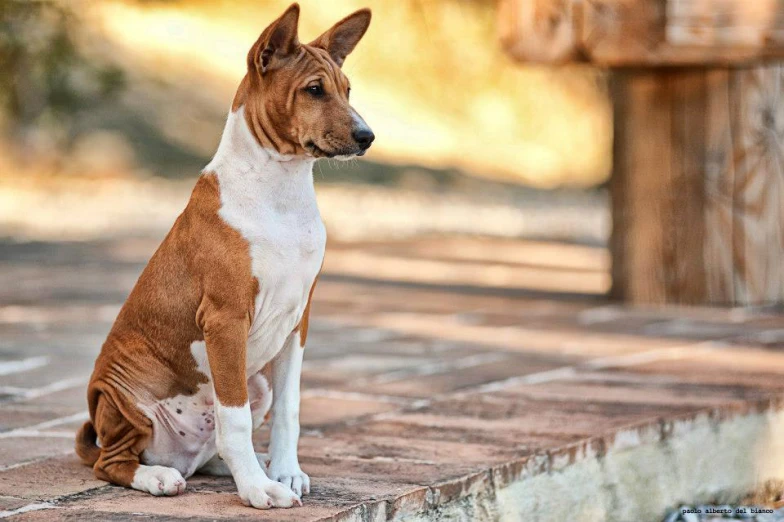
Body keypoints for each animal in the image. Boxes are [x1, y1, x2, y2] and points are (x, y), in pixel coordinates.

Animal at [75, 4, 376, 508]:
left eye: (348, 90)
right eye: (314, 90)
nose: (367, 135)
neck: (280, 195)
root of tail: (178, 457)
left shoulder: (298, 322)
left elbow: (290, 411)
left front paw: (285, 473)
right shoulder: (226, 319)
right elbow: (234, 421)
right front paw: (257, 489)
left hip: (256, 383)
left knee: (211, 446)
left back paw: (236, 466)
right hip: (123, 395)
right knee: (113, 462)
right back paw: (159, 477)